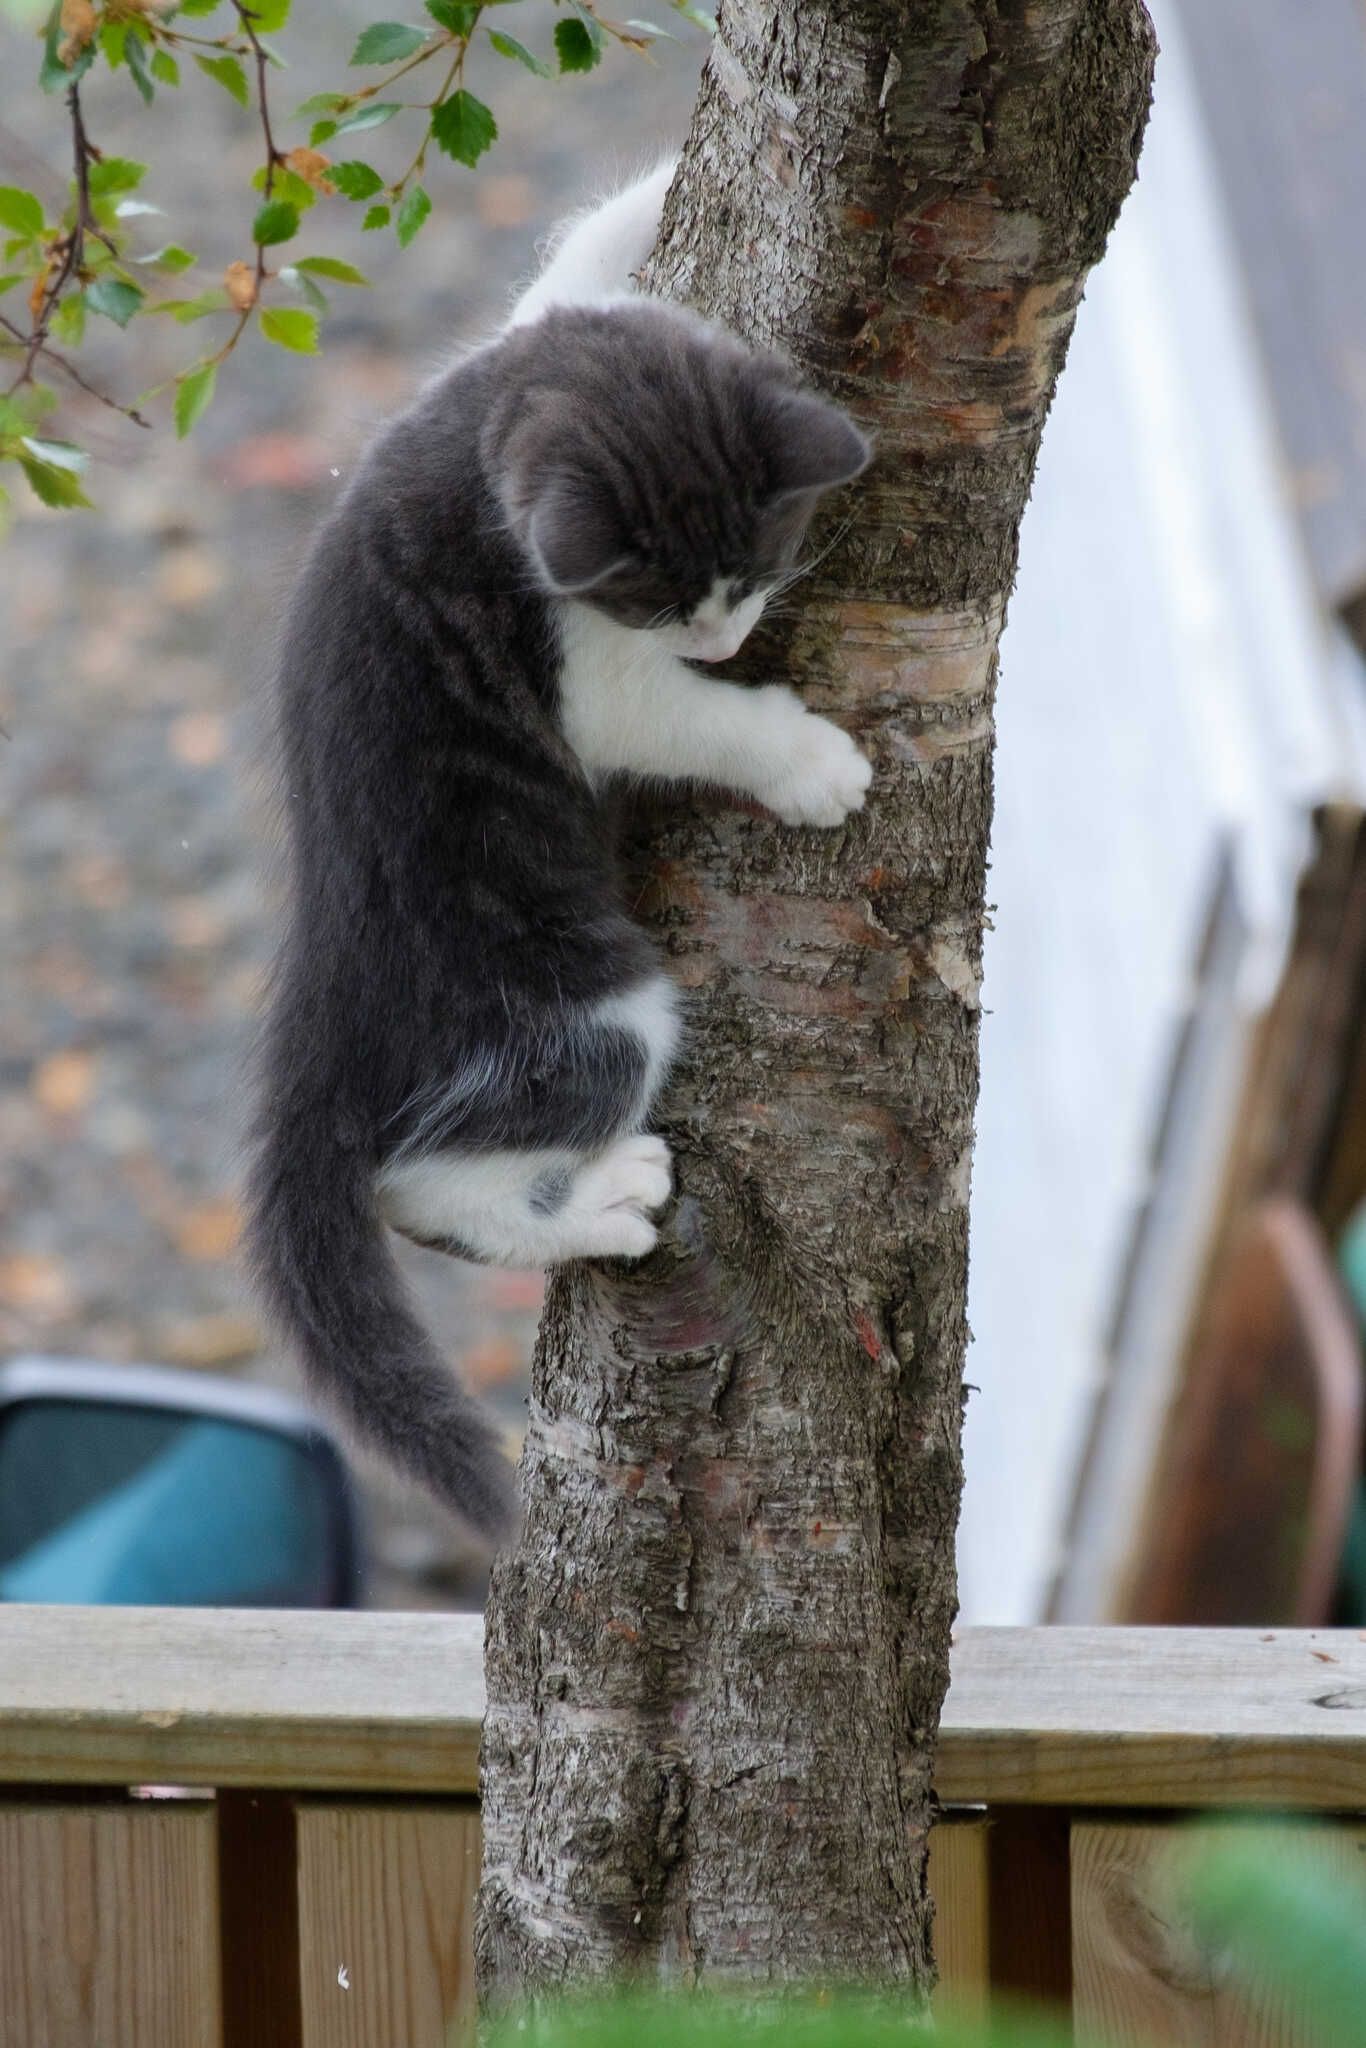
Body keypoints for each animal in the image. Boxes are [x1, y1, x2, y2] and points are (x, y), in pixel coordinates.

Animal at [249, 167, 872, 1531]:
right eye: (659, 599)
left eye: (753, 563)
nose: (726, 634)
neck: (476, 451)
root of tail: (325, 985)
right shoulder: (579, 666)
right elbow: (677, 717)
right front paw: (811, 764)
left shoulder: (509, 361)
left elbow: (565, 277)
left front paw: (644, 193)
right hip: (578, 999)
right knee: (413, 1179)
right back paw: (602, 1199)